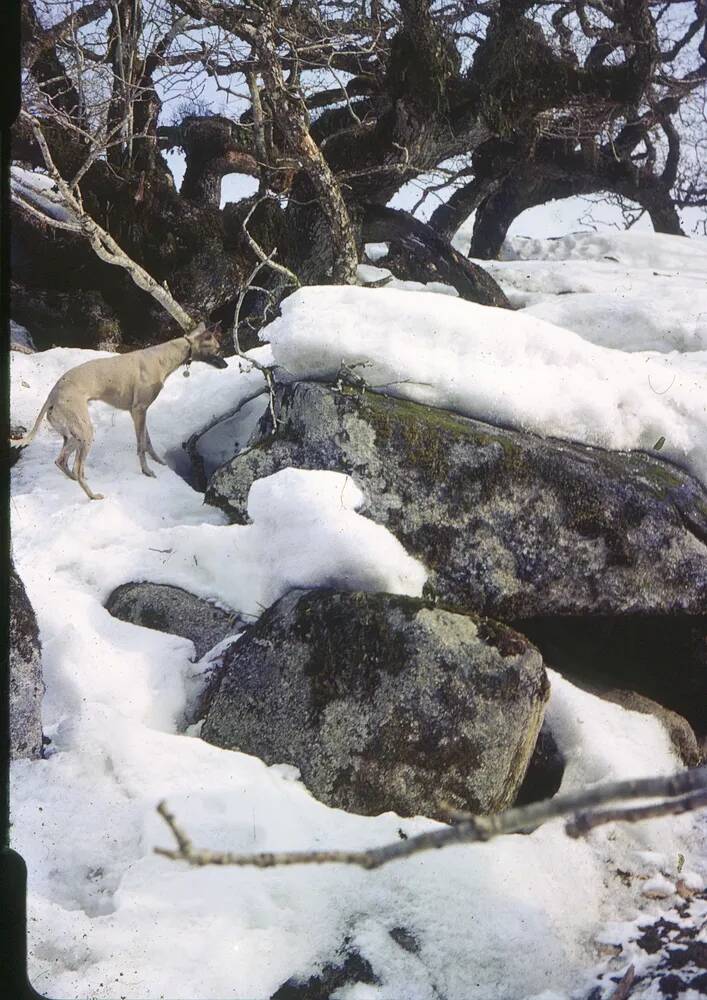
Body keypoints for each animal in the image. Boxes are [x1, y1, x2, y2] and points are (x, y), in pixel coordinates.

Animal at [13, 324, 227, 500]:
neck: (162, 357)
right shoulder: (139, 410)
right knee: (77, 468)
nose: (226, 365)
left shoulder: (140, 412)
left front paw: (159, 461)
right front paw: (147, 471)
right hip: (85, 432)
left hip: (73, 436)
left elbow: (147, 441)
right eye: (217, 349)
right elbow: (140, 446)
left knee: (61, 461)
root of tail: (52, 394)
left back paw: (74, 480)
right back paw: (93, 495)